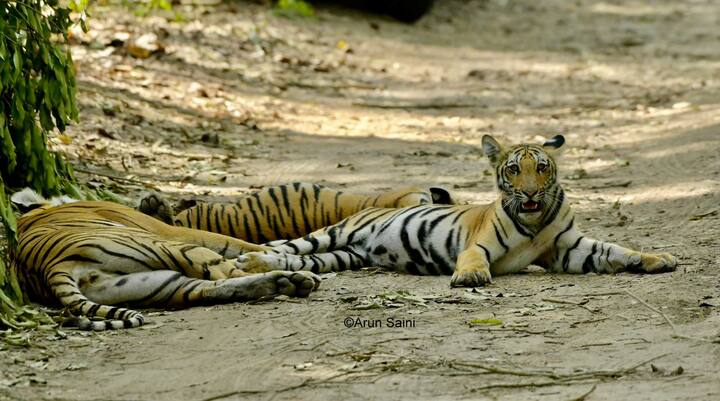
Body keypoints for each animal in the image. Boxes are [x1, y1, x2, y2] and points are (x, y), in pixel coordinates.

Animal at [9, 189, 320, 330]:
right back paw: (299, 277)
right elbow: (242, 244)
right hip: (169, 245)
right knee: (225, 273)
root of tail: (50, 268)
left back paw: (288, 282)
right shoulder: (170, 230)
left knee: (213, 289)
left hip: (158, 283)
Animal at [233, 134, 676, 284]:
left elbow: (615, 250)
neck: (535, 221)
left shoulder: (568, 250)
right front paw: (470, 277)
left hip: (341, 256)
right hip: (331, 233)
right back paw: (248, 261)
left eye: (542, 168)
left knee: (298, 261)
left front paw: (658, 258)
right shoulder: (479, 243)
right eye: (513, 169)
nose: (529, 194)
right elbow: (474, 257)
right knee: (282, 248)